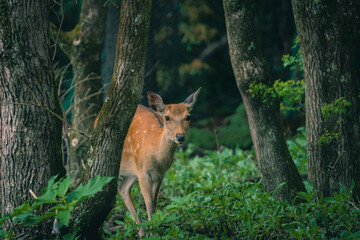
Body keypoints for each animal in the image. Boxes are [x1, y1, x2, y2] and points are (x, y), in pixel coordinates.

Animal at [119, 87, 201, 235]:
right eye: (167, 117)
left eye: (188, 116)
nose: (180, 136)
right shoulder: (143, 173)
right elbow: (149, 205)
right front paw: (153, 233)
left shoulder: (160, 175)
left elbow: (154, 204)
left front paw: (154, 231)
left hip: (131, 171)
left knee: (122, 188)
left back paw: (141, 232)